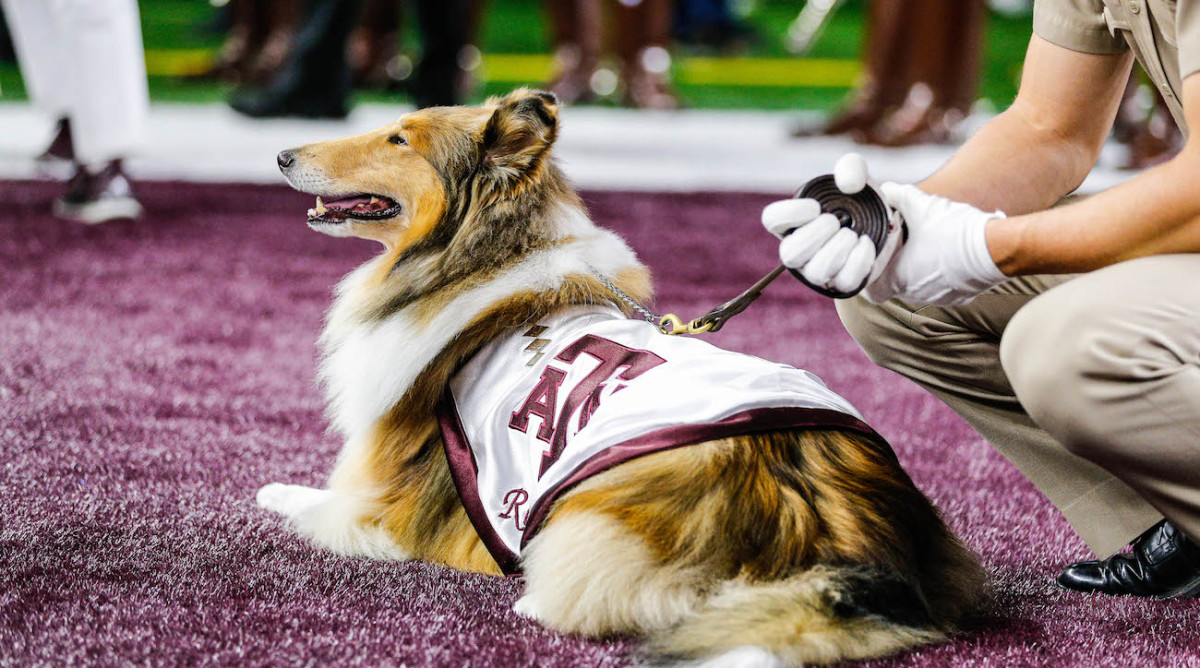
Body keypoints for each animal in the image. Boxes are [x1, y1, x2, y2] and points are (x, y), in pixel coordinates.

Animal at [260, 87, 984, 662]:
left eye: (400, 138)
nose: (282, 155)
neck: (481, 256)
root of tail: (849, 547)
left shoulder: (380, 507)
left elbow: (315, 501)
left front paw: (270, 490)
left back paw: (536, 594)